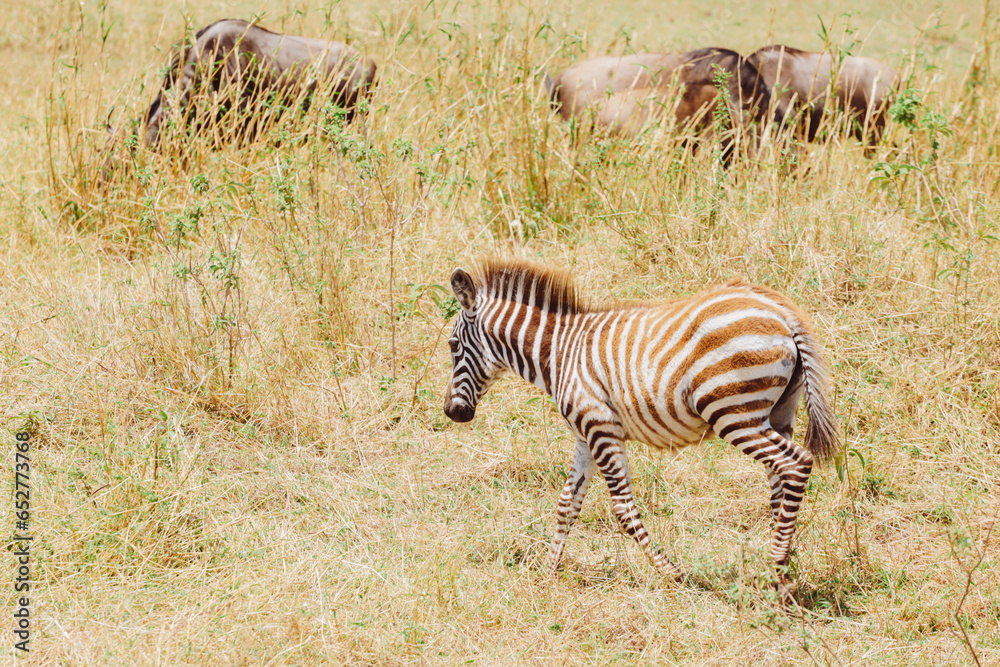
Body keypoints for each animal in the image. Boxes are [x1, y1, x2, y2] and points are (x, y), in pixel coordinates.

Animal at [443, 258, 838, 587]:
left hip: (734, 412)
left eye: (452, 345)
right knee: (780, 481)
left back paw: (778, 566)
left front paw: (673, 574)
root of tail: (782, 310)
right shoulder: (585, 435)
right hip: (775, 413)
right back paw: (780, 570)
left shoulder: (601, 428)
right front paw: (547, 571)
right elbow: (567, 502)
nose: (451, 412)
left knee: (797, 463)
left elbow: (622, 509)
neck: (558, 353)